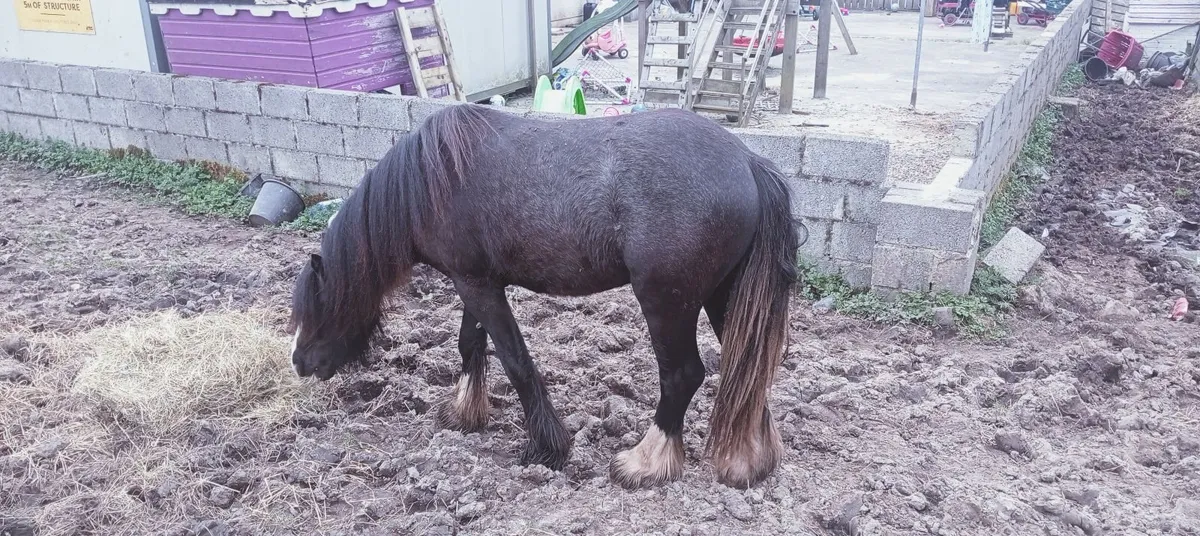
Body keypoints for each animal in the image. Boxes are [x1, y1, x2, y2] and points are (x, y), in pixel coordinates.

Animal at [289, 103, 799, 489]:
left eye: (318, 306)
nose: (299, 363)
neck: (431, 181)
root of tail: (749, 163)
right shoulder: (474, 282)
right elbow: (470, 344)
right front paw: (465, 412)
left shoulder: (477, 285)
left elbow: (515, 360)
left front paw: (546, 447)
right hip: (723, 298)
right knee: (745, 368)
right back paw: (749, 461)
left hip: (667, 303)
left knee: (683, 375)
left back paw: (643, 463)